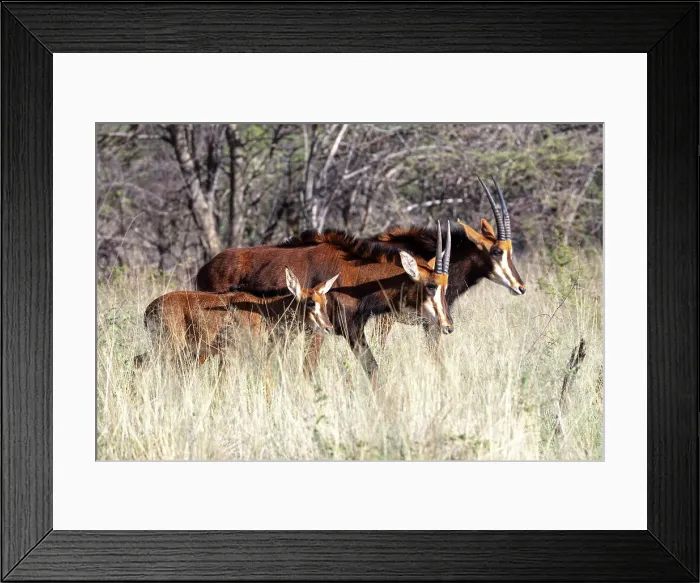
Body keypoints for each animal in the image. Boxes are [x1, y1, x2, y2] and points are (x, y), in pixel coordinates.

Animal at [134, 268, 338, 372]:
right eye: (310, 302)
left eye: (325, 301)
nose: (329, 327)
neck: (266, 311)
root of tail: (149, 309)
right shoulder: (231, 354)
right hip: (167, 346)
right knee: (140, 362)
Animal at [195, 221, 453, 384]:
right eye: (431, 285)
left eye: (446, 285)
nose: (448, 325)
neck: (353, 276)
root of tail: (203, 269)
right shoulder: (319, 331)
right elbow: (308, 371)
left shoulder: (353, 330)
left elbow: (373, 369)